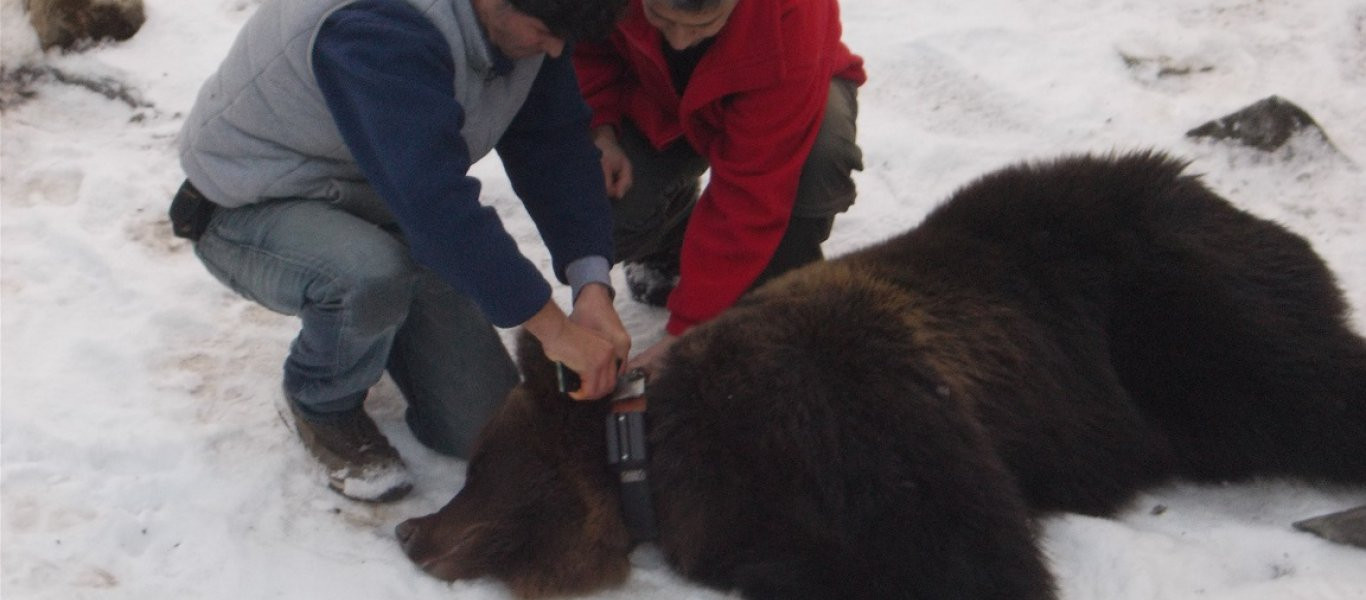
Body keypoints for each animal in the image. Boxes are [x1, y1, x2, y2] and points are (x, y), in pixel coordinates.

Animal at [390, 152, 1360, 600]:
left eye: (481, 467)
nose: (411, 531)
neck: (664, 460)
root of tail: (1215, 193)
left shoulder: (865, 410)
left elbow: (972, 555)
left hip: (1177, 312)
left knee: (1304, 382)